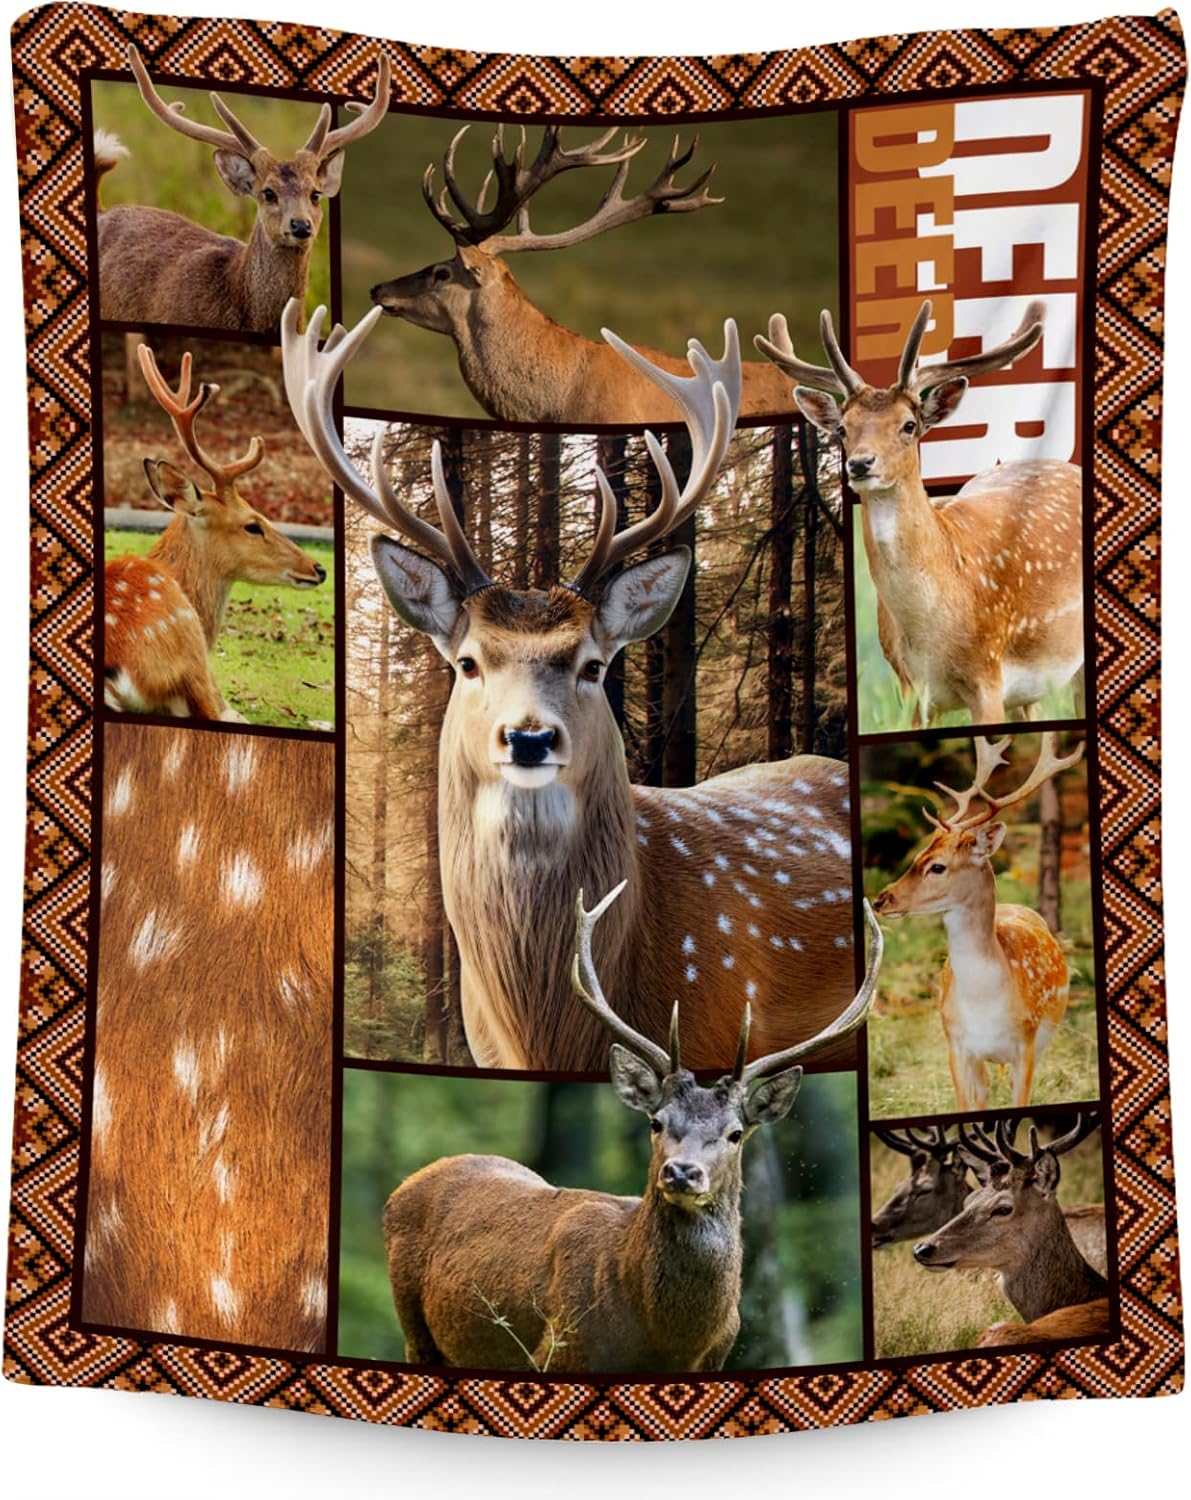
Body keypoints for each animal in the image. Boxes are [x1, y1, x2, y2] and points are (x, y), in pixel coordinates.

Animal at [382, 887, 882, 1372]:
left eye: (736, 1133)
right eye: (657, 1122)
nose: (682, 1172)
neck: (666, 1340)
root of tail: (407, 1184)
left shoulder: (716, 1357)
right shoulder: (555, 1348)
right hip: (413, 1324)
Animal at [872, 733, 1084, 1112]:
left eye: (937, 866)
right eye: (917, 856)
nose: (883, 899)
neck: (984, 1004)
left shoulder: (1026, 1043)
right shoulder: (955, 1043)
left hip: (1046, 1034)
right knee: (983, 1095)